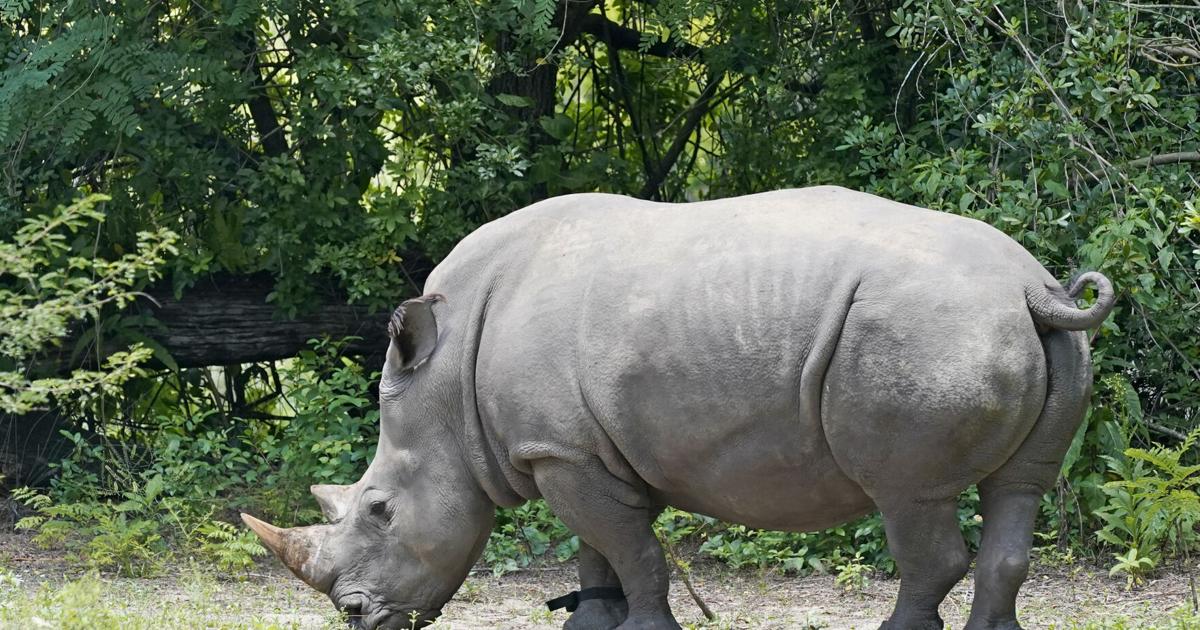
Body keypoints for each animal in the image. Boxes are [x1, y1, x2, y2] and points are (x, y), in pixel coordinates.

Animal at [241, 186, 1114, 630]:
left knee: (909, 499)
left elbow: (632, 552)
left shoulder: (562, 452)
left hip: (922, 334)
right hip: (1016, 332)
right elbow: (595, 550)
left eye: (381, 510)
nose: (356, 616)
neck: (445, 382)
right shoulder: (570, 448)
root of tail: (1034, 287)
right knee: (1019, 490)